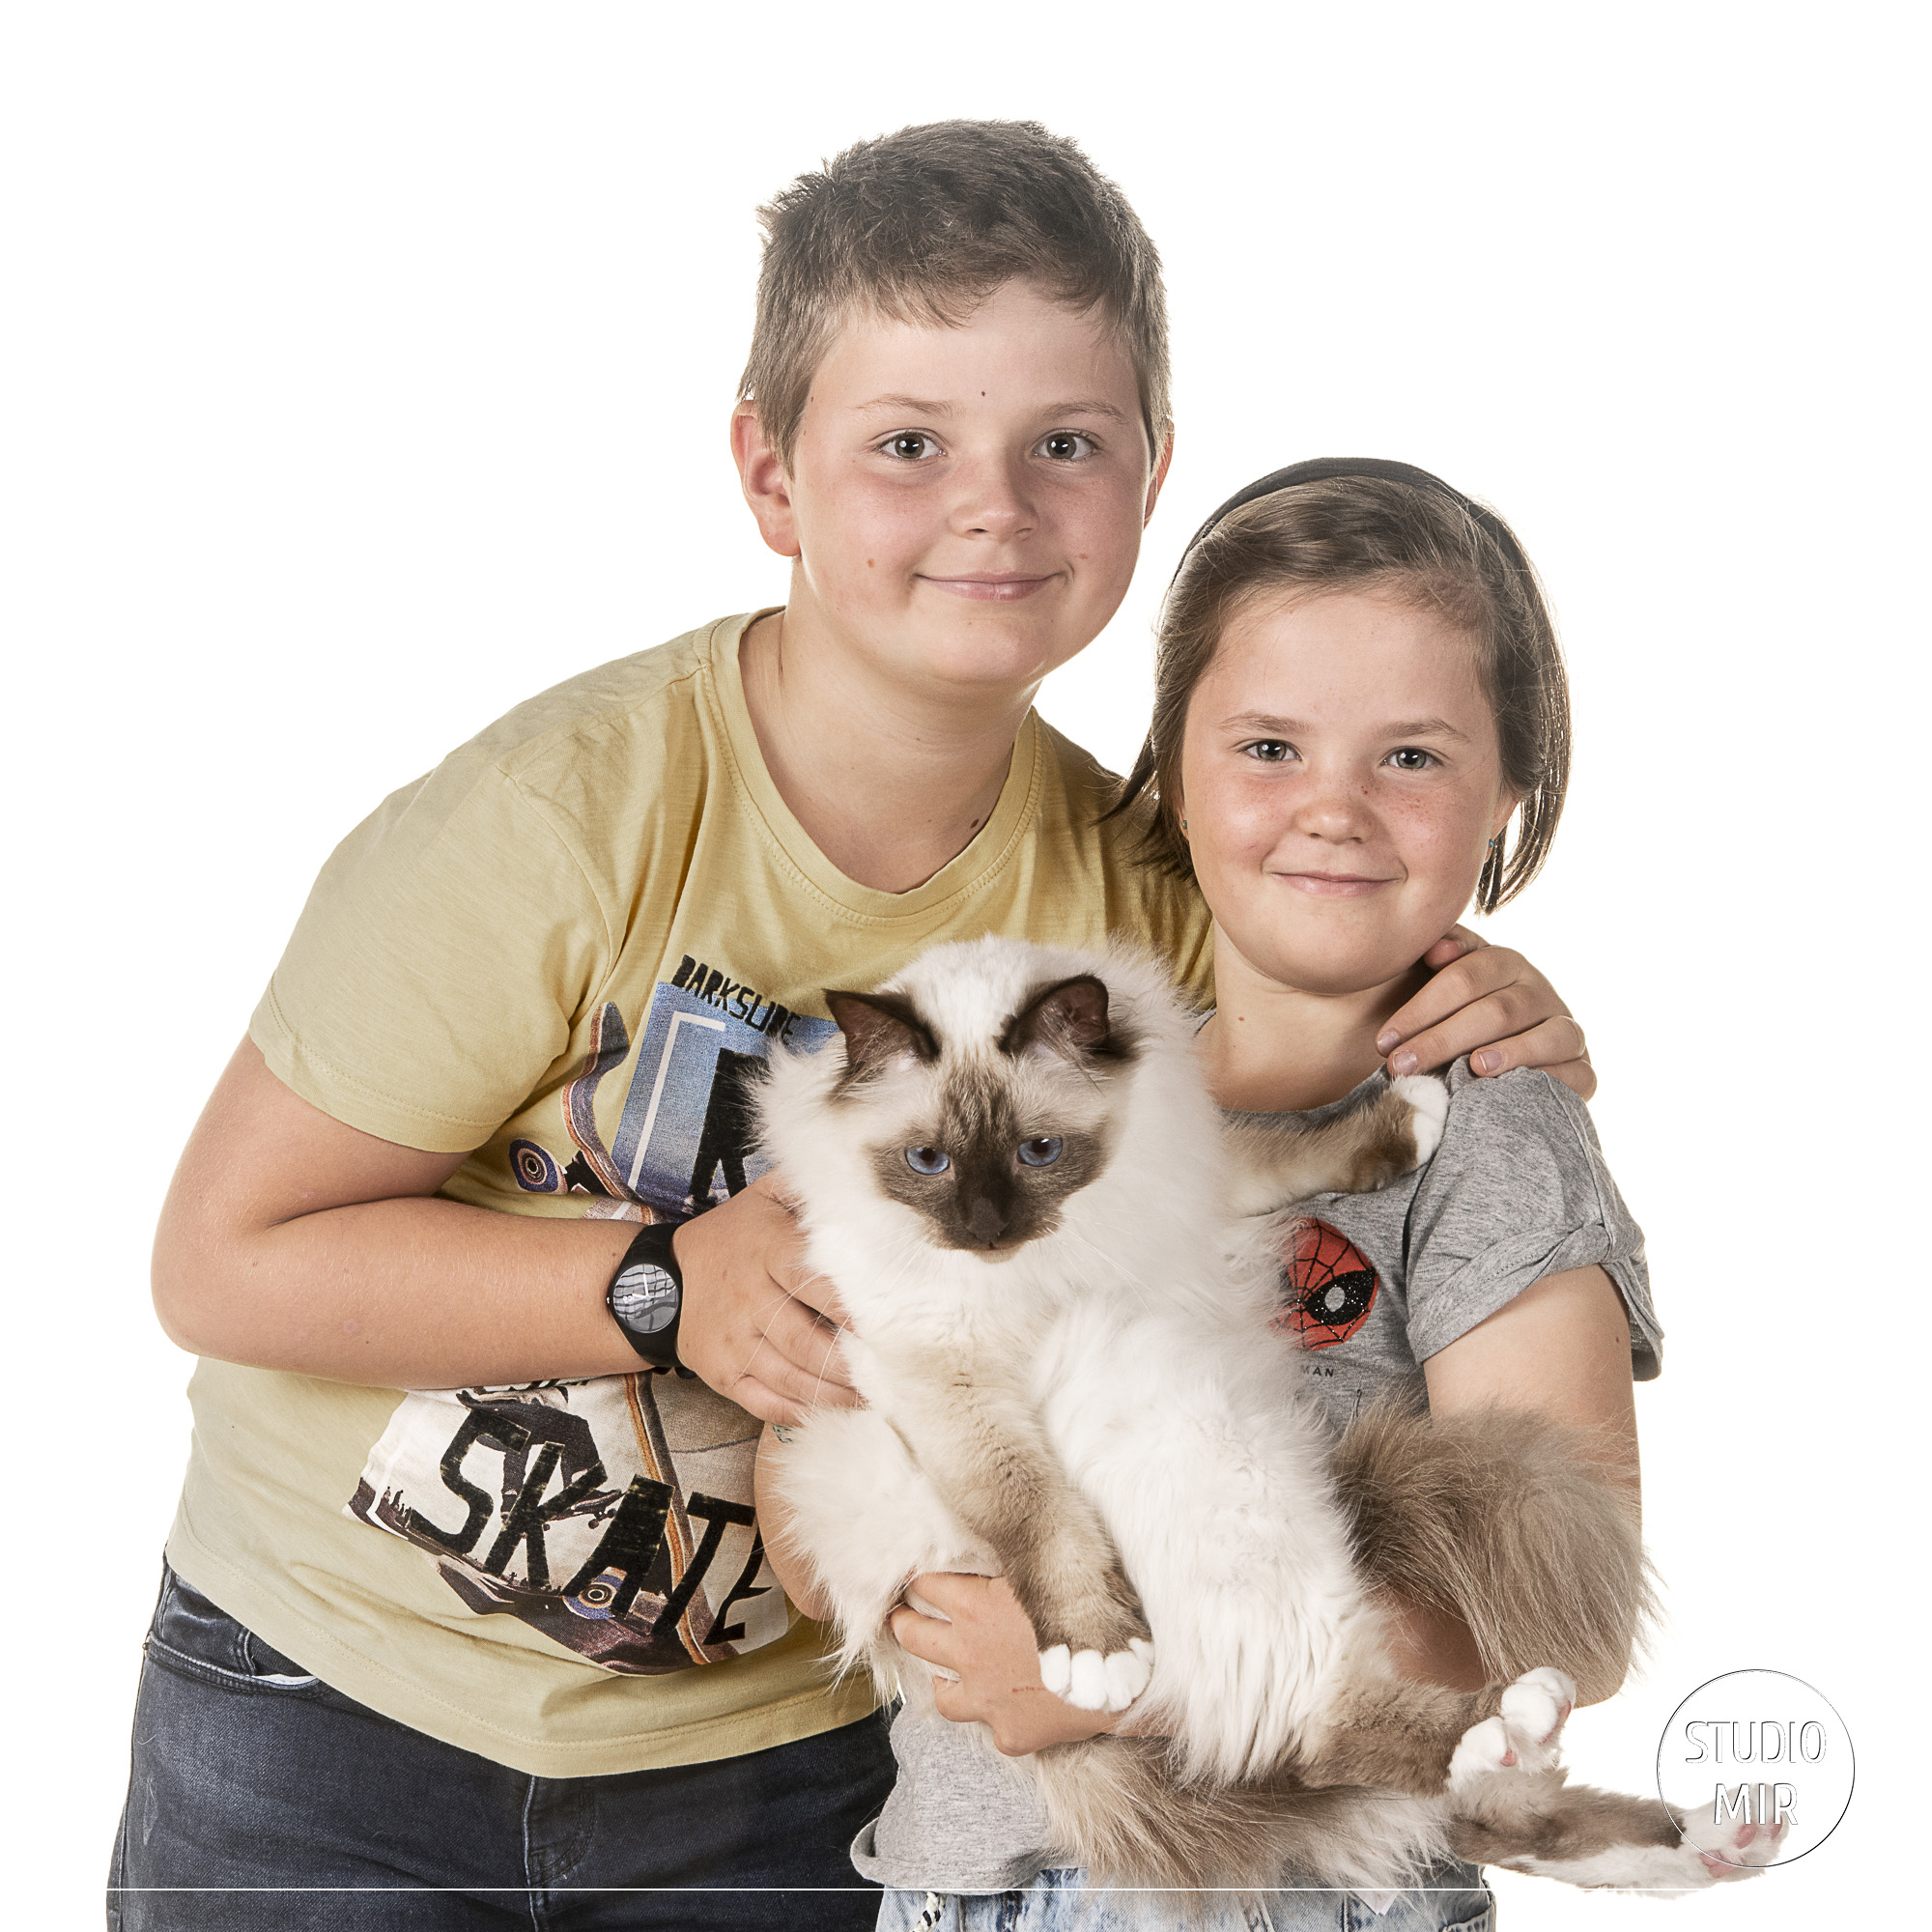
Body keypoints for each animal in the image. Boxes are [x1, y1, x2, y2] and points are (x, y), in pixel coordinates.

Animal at [761, 943, 1785, 1893]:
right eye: (927, 1161)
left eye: (1037, 1153)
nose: (983, 1230)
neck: (1063, 1254)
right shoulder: (947, 1379)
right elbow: (1038, 1513)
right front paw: (1095, 1654)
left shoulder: (1199, 1170)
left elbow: (1292, 1148)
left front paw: (1416, 1111)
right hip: (1142, 1405)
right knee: (1340, 1744)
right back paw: (1525, 1732)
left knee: (1446, 1792)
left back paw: (1713, 1834)